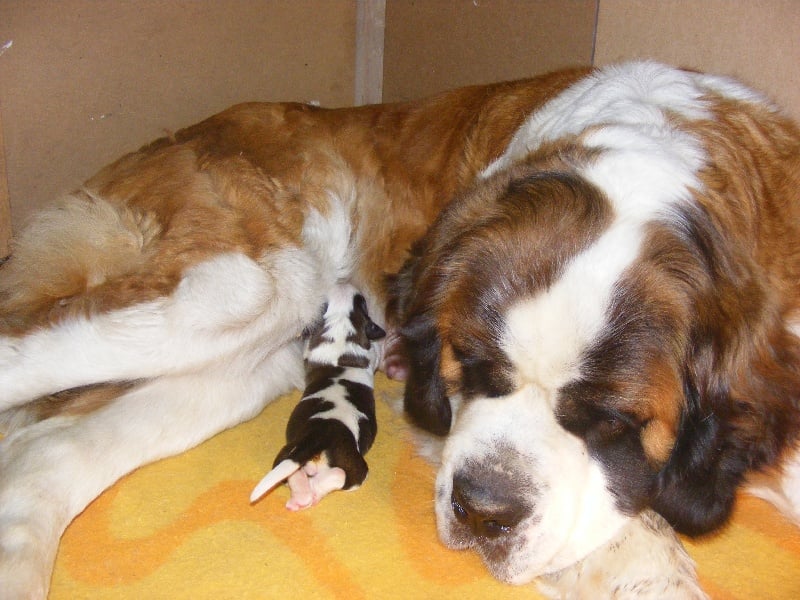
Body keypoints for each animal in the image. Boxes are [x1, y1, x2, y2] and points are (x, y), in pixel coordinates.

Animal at [252, 284, 386, 508]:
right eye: (362, 301)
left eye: (324, 305)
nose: (343, 283)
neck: (340, 332)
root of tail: (319, 434)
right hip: (355, 464)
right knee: (341, 475)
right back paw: (312, 493)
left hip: (288, 451)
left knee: (289, 470)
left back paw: (302, 494)